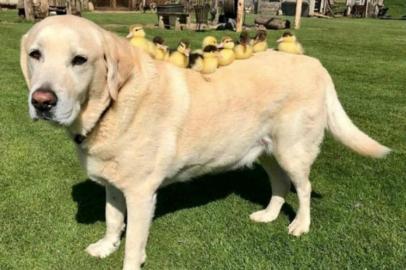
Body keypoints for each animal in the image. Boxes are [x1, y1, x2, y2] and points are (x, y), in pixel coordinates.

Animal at [20, 15, 388, 270]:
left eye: (80, 60)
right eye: (36, 55)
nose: (42, 101)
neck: (111, 106)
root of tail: (315, 63)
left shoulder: (141, 194)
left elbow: (134, 245)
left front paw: (126, 259)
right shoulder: (113, 184)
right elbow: (113, 220)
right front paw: (106, 246)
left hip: (292, 151)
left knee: (305, 188)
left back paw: (300, 225)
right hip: (266, 151)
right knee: (280, 184)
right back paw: (270, 215)